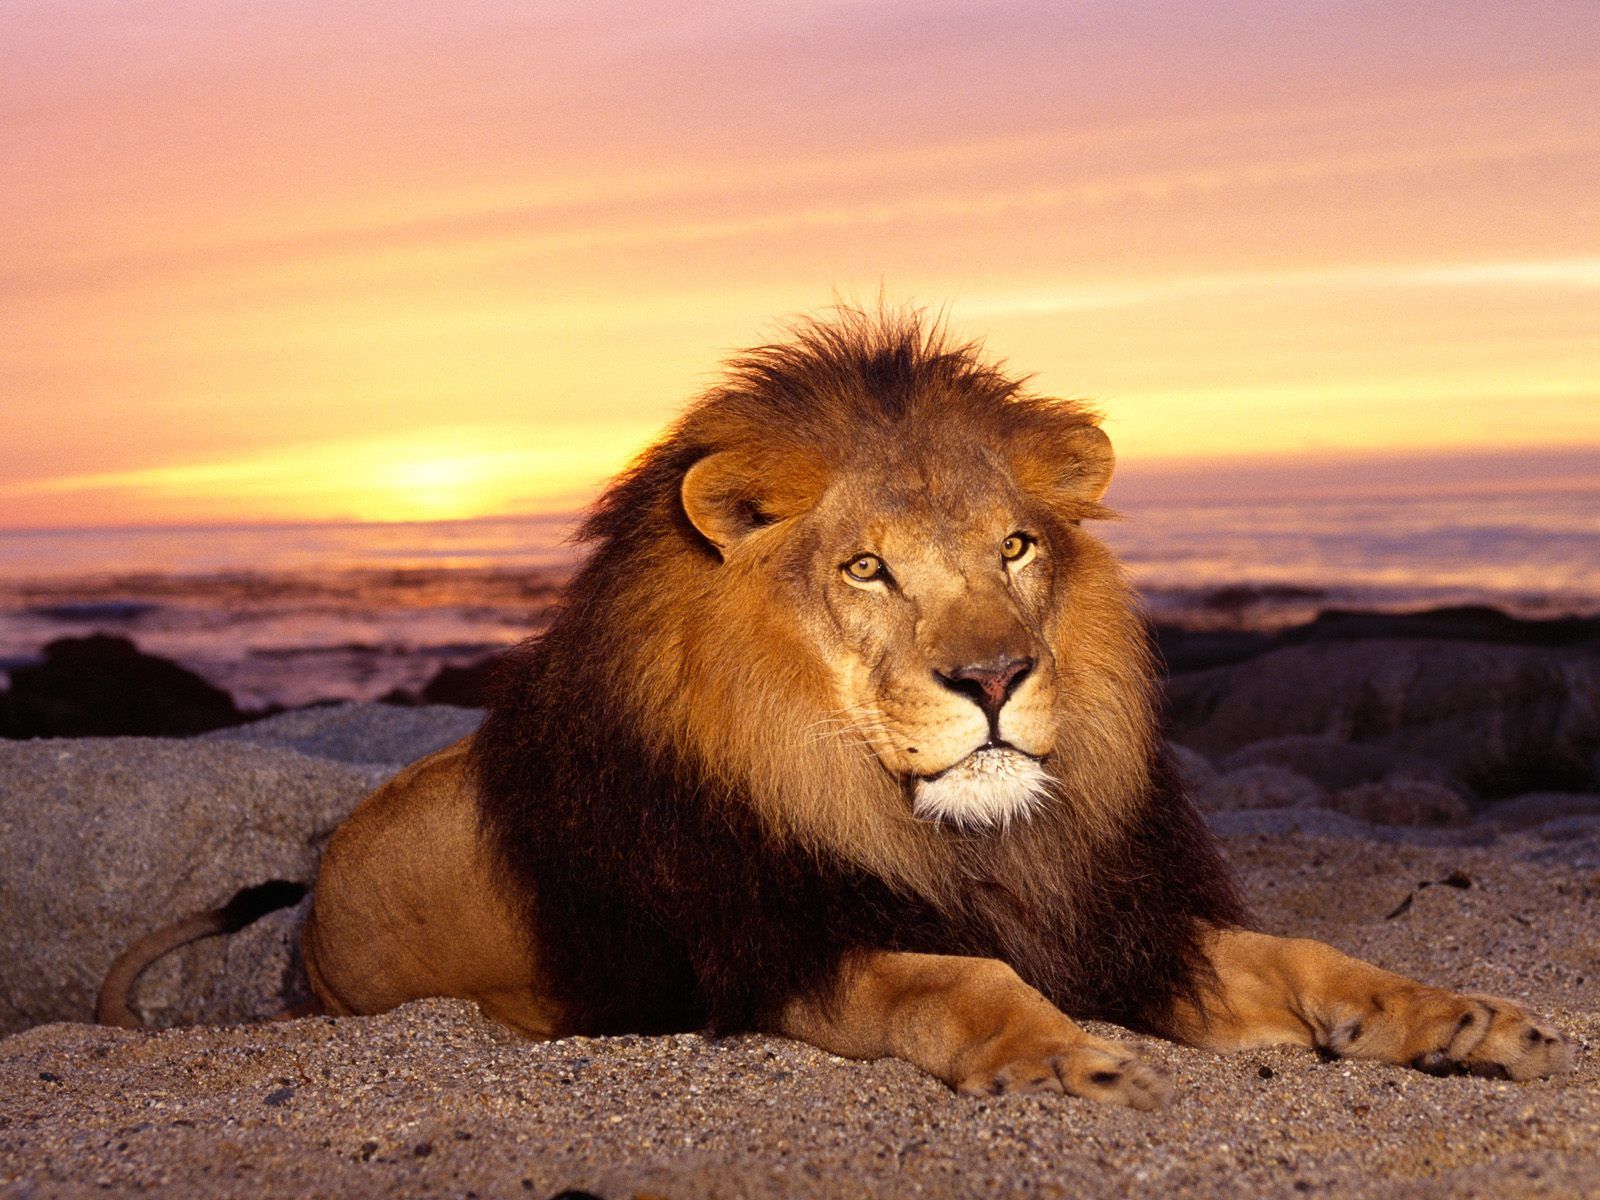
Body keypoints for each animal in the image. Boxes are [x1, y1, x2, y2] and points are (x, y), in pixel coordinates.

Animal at [104, 310, 1574, 1107]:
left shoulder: (1117, 919)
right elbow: (954, 976)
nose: (994, 680)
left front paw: (1458, 1019)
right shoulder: (774, 951)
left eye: (1016, 549)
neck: (953, 835)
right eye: (868, 568)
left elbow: (1311, 960)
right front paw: (1070, 1061)